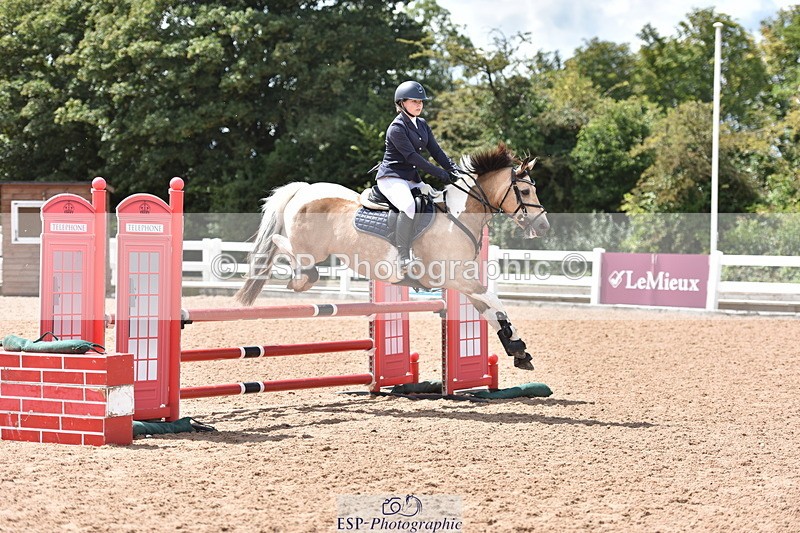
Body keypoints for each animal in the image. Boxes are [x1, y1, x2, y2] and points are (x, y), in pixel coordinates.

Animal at [235, 143, 550, 370]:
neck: (458, 217)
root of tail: (304, 190)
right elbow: (495, 301)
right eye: (524, 191)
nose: (544, 226)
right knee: (288, 253)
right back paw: (293, 274)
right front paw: (518, 347)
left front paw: (517, 350)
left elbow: (491, 311)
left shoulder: (465, 281)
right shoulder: (457, 278)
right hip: (310, 251)